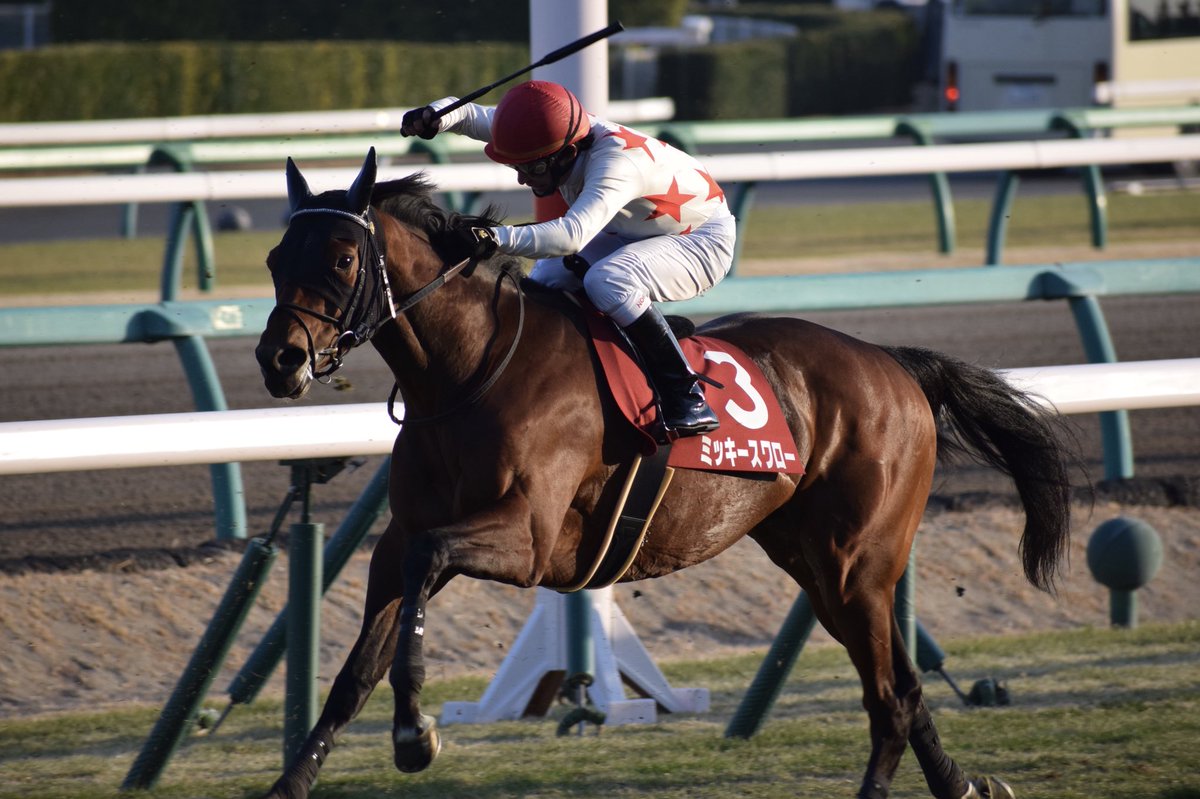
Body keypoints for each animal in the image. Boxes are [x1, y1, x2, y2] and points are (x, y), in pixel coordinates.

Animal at [254, 149, 1073, 799]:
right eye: (273, 259)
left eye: (342, 259)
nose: (280, 359)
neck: (471, 371)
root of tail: (896, 364)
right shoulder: (402, 539)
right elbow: (355, 671)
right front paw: (296, 779)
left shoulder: (527, 539)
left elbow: (425, 574)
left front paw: (416, 733)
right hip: (816, 563)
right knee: (899, 685)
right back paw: (962, 784)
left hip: (858, 565)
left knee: (890, 697)